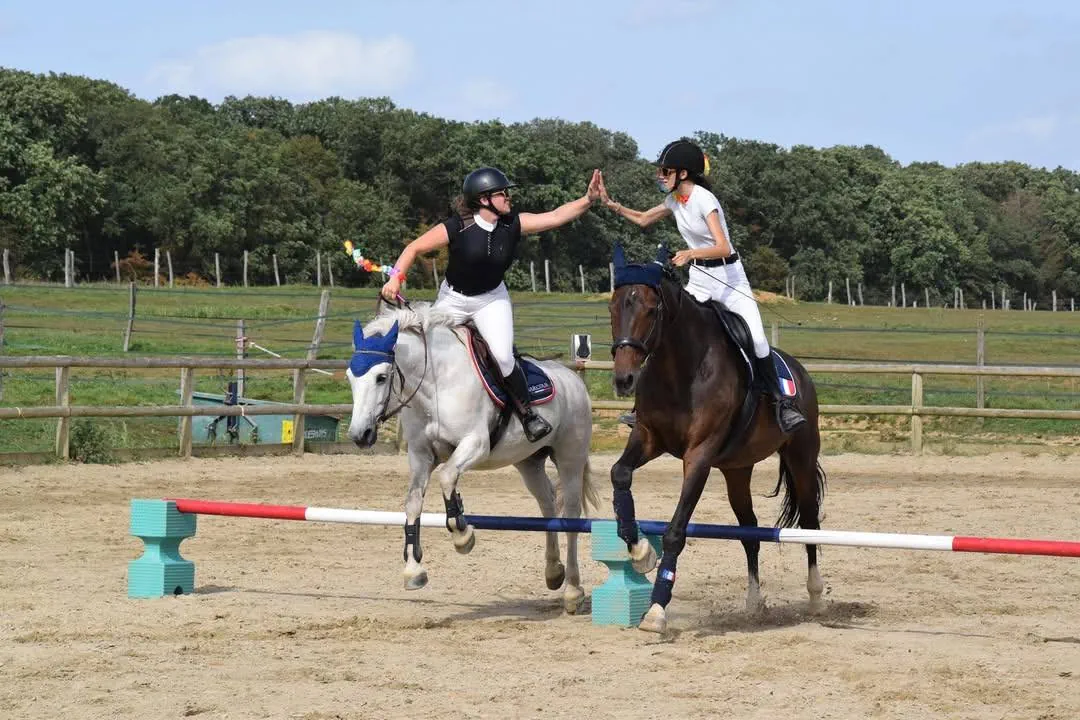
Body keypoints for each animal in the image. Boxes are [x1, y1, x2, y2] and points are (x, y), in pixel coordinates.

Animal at [344, 301, 599, 613]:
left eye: (381, 377)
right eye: (350, 377)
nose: (360, 434)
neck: (435, 384)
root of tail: (573, 379)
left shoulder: (476, 444)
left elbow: (447, 476)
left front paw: (462, 535)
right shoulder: (421, 455)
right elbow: (413, 502)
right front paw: (414, 569)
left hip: (570, 457)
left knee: (571, 514)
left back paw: (573, 590)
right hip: (528, 461)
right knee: (547, 503)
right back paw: (553, 571)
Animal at [607, 244, 827, 633]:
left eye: (651, 310)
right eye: (612, 308)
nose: (624, 379)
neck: (680, 367)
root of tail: (800, 370)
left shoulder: (699, 455)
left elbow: (676, 530)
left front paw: (657, 610)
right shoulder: (648, 438)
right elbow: (620, 474)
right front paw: (640, 552)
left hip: (800, 455)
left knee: (810, 521)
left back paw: (815, 597)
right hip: (737, 470)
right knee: (749, 530)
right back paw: (754, 602)